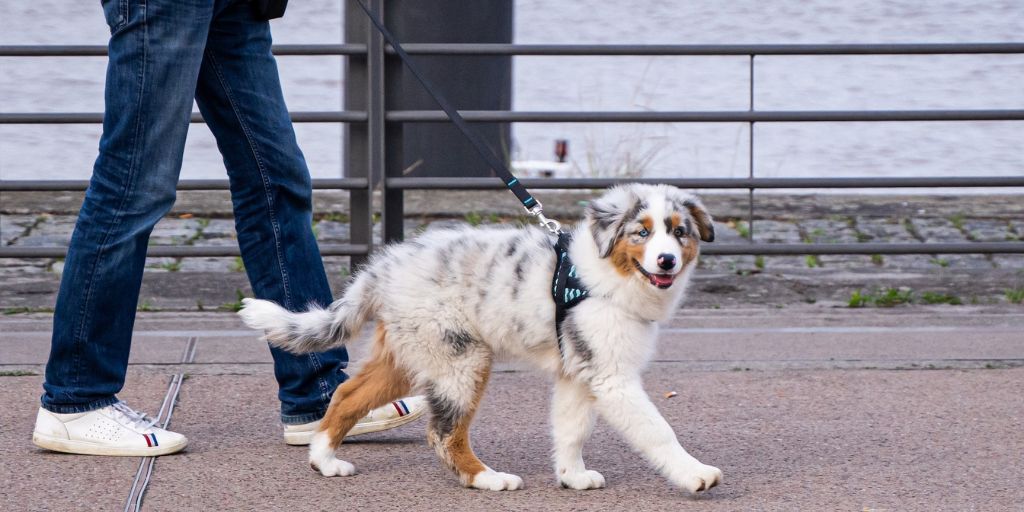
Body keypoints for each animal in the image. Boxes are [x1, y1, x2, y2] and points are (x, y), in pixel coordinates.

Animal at [238, 183, 720, 491]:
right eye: (642, 232)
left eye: (680, 232)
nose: (666, 261)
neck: (606, 274)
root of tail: (383, 268)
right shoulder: (612, 377)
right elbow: (657, 430)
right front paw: (694, 474)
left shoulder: (579, 371)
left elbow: (571, 428)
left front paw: (572, 476)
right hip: (460, 358)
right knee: (444, 433)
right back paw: (488, 478)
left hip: (411, 352)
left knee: (346, 394)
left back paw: (323, 459)